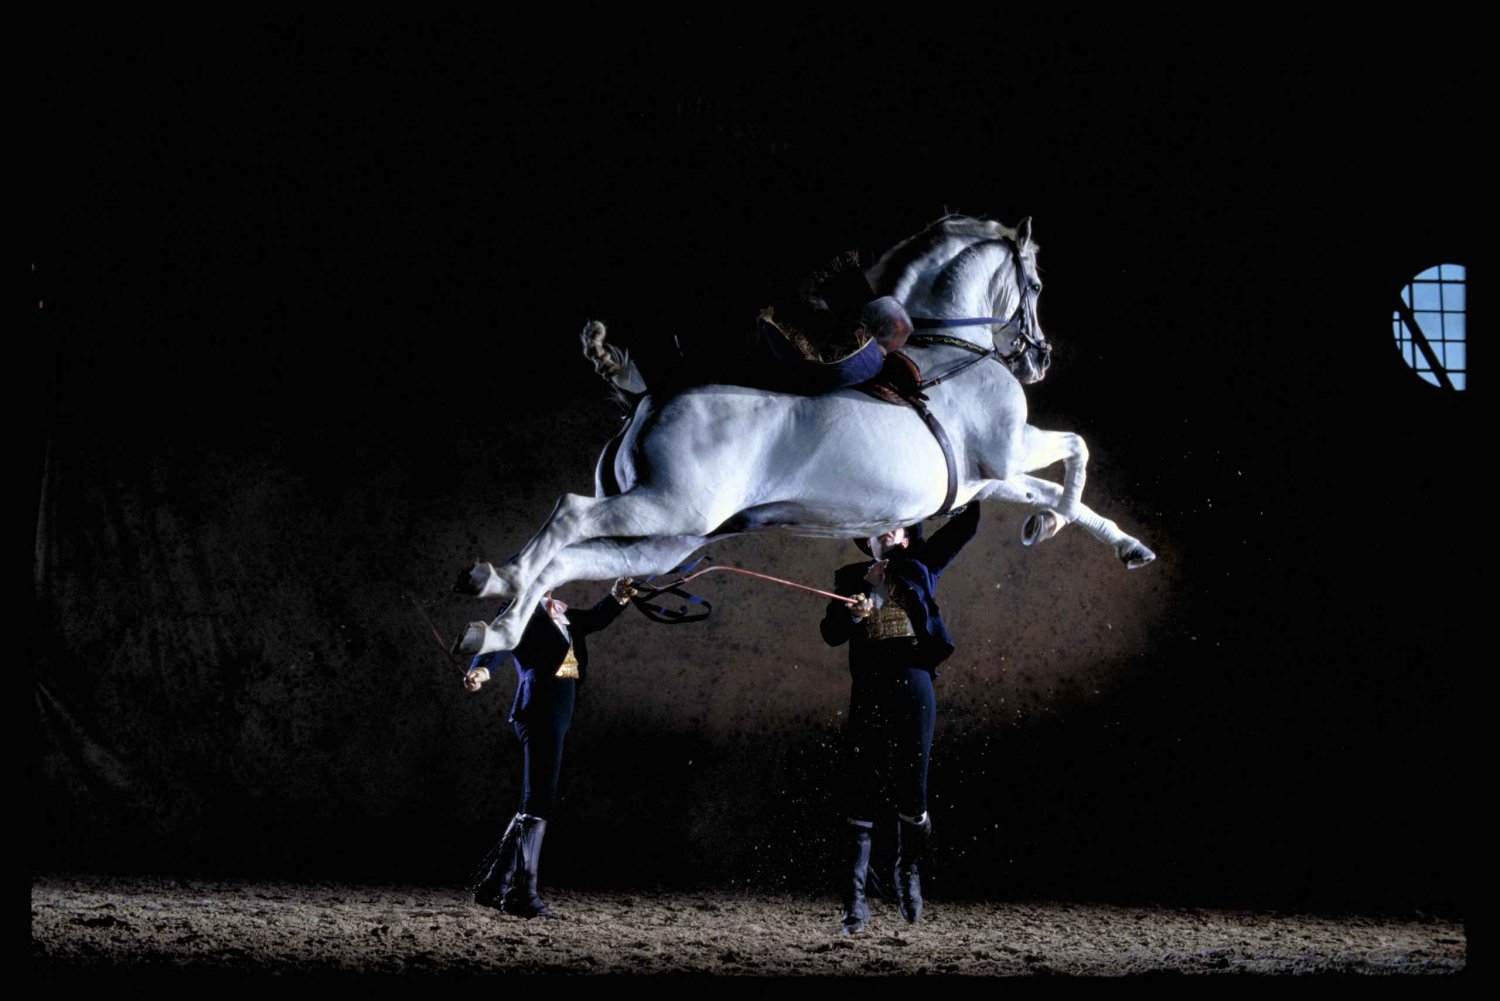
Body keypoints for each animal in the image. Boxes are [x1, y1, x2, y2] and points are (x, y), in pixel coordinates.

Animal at [454, 215, 1155, 656]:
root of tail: (644, 397)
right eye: (1035, 284)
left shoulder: (985, 480)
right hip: (667, 507)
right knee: (568, 516)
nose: (1040, 359)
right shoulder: (1011, 450)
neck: (950, 348)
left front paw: (1112, 541)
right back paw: (497, 581)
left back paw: (493, 630)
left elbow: (1054, 490)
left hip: (665, 542)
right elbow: (1077, 450)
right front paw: (1051, 523)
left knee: (570, 561)